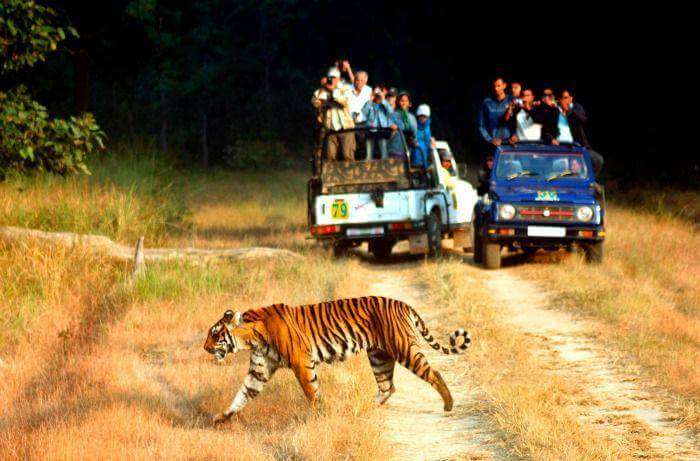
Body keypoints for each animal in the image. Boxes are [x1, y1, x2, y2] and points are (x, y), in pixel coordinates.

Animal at [205, 296, 474, 422]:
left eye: (215, 334)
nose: (205, 347)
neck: (252, 337)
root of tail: (403, 304)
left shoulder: (301, 363)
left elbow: (312, 391)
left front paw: (318, 414)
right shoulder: (259, 370)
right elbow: (242, 394)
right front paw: (221, 418)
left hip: (404, 349)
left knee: (434, 373)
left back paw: (449, 404)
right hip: (379, 356)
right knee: (387, 386)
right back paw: (363, 408)